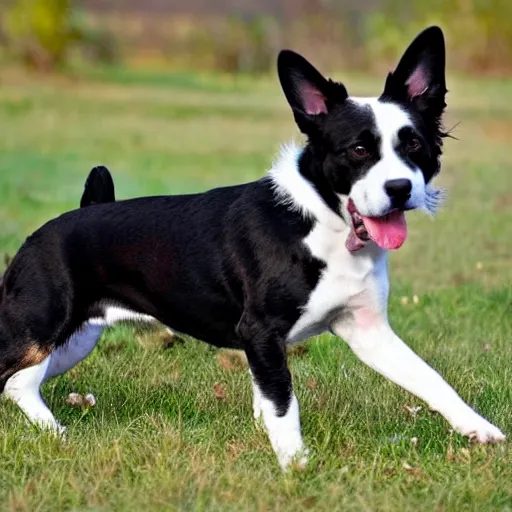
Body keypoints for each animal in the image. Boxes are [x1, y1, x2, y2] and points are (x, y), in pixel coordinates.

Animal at [0, 27, 504, 468]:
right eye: (359, 150)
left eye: (414, 144)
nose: (400, 189)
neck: (321, 223)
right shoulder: (261, 333)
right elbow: (283, 404)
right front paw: (296, 465)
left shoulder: (368, 332)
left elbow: (430, 378)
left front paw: (478, 429)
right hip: (37, 333)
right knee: (17, 379)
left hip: (72, 341)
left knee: (19, 384)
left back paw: (52, 431)